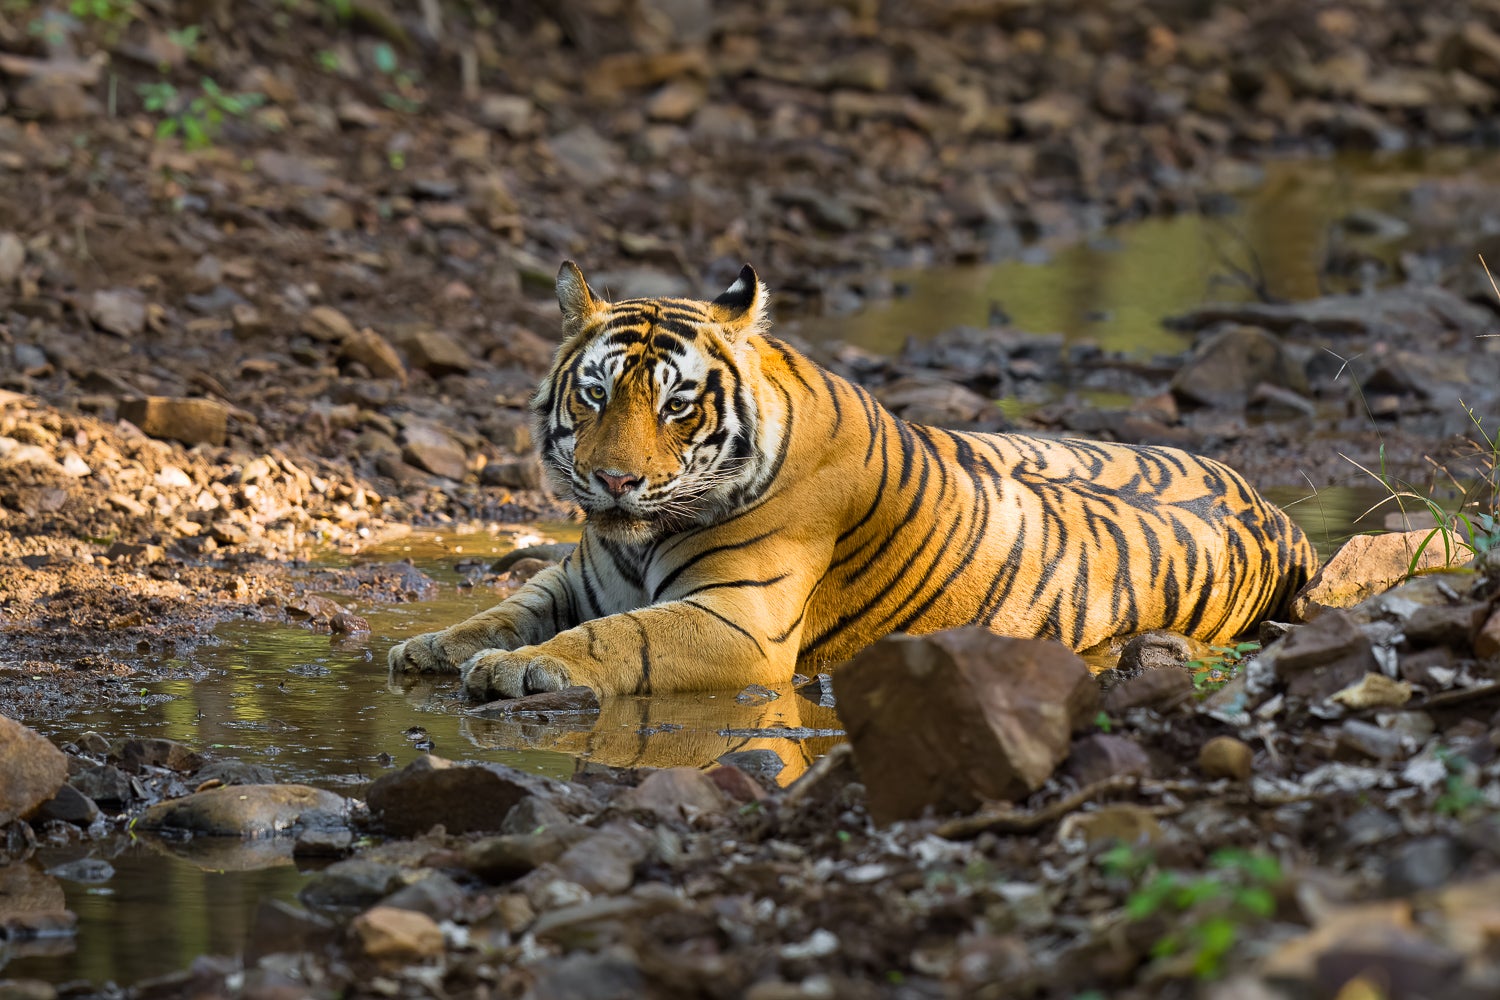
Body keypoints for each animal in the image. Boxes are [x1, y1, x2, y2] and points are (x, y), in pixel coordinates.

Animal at [390, 257, 1326, 701]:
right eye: (594, 395)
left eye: (677, 406)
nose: (613, 482)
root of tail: (1275, 508)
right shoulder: (576, 575)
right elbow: (506, 607)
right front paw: (435, 645)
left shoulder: (739, 620)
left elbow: (619, 638)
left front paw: (525, 670)